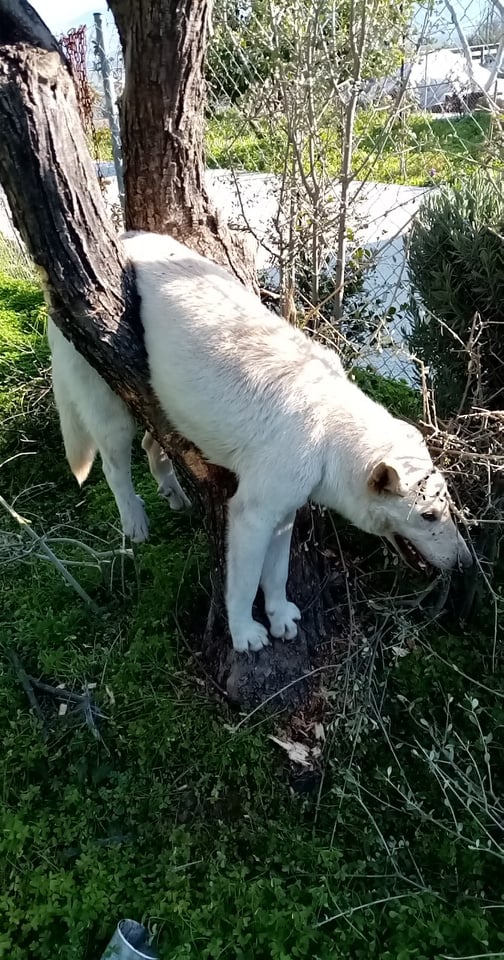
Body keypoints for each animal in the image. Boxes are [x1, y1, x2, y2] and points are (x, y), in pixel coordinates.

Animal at [47, 231, 472, 652]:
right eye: (428, 516)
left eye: (446, 509)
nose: (466, 564)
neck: (330, 435)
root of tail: (130, 236)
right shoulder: (252, 517)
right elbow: (244, 585)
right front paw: (243, 633)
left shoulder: (282, 517)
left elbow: (276, 575)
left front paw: (280, 616)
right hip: (110, 412)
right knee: (114, 468)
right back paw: (135, 522)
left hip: (163, 406)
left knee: (154, 450)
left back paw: (174, 496)